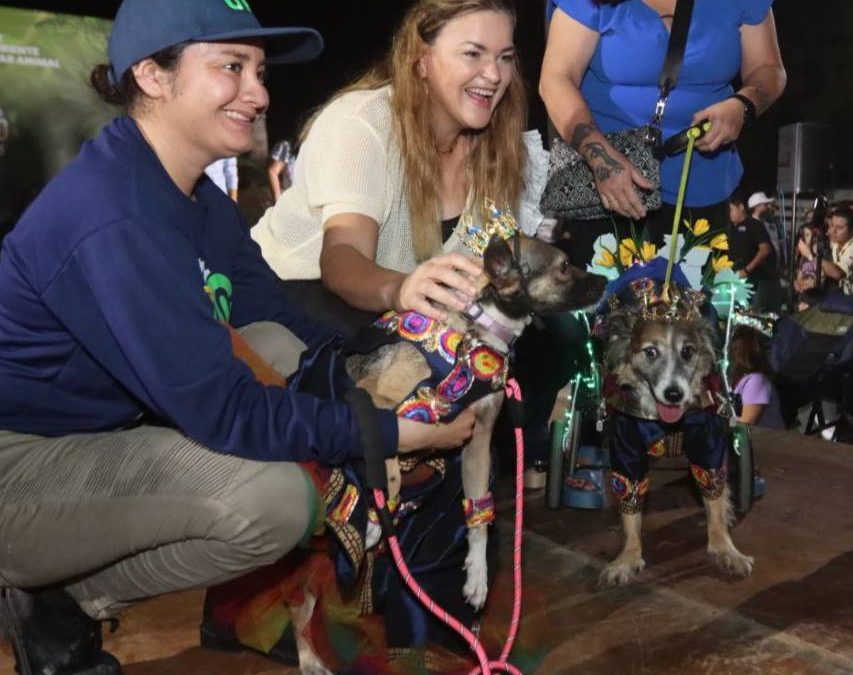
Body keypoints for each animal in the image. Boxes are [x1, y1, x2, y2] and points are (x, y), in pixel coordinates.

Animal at [600, 296, 752, 588]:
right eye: (650, 352)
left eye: (688, 352)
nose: (673, 394)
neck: (668, 421)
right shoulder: (626, 448)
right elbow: (629, 498)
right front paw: (628, 558)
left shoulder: (709, 444)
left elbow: (715, 497)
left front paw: (726, 549)